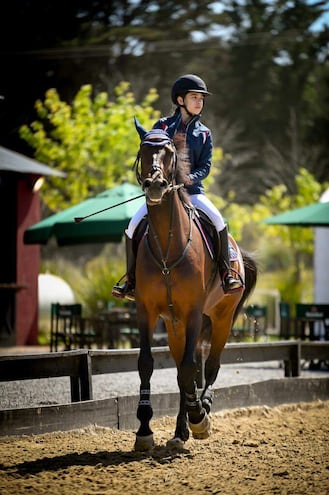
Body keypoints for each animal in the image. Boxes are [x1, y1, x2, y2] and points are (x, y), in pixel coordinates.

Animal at [131, 118, 256, 452]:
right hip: (175, 326)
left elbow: (191, 369)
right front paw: (144, 429)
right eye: (143, 151)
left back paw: (203, 409)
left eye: (170, 153)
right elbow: (148, 364)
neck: (168, 245)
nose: (156, 186)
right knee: (182, 373)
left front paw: (199, 417)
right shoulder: (147, 312)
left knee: (210, 366)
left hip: (221, 318)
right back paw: (180, 429)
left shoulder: (194, 313)